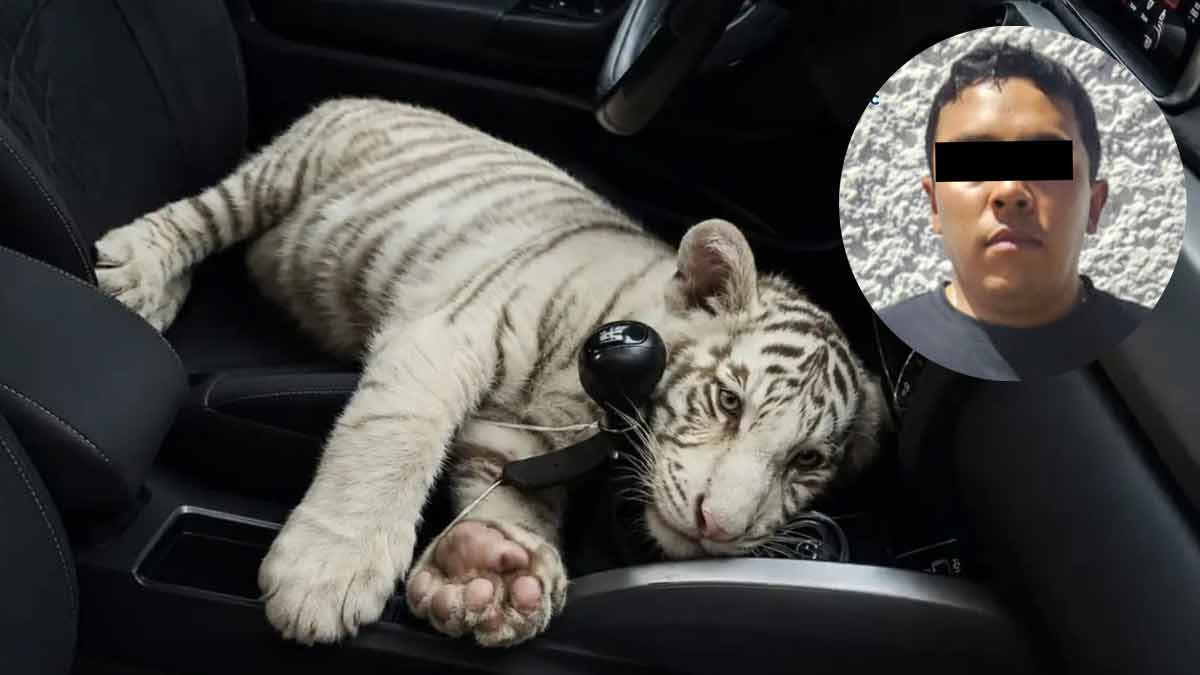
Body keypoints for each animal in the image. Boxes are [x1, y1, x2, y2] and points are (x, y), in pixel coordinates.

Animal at [93, 97, 887, 648]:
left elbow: (510, 500)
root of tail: (372, 96)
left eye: (807, 460)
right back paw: (135, 271)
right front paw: (325, 573)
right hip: (282, 173)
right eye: (728, 401)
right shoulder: (446, 336)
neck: (589, 404)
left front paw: (489, 573)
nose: (716, 527)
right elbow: (391, 443)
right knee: (202, 215)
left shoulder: (518, 435)